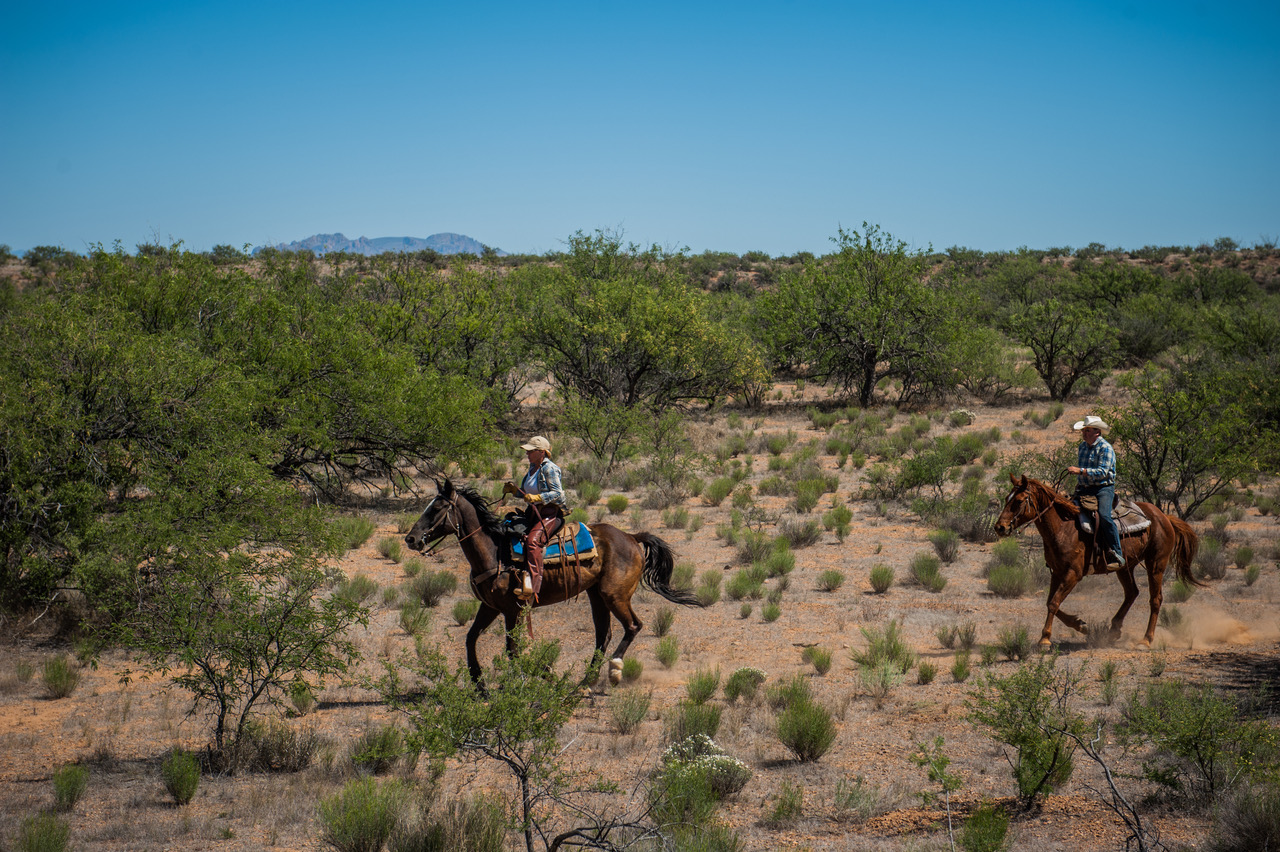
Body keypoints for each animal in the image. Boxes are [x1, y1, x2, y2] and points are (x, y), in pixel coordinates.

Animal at [401, 478, 706, 685]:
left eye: (437, 508)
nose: (411, 539)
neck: (493, 551)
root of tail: (631, 536)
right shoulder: (490, 607)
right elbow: (470, 638)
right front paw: (479, 685)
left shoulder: (513, 610)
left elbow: (512, 650)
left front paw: (545, 673)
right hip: (596, 595)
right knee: (603, 634)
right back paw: (586, 682)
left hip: (613, 594)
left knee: (632, 626)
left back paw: (614, 671)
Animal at [988, 473, 1198, 647]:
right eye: (1006, 499)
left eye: (1019, 501)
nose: (1000, 527)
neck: (1063, 528)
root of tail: (1164, 517)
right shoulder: (1057, 572)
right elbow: (1050, 602)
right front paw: (1081, 625)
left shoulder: (1073, 574)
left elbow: (1054, 603)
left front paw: (1045, 639)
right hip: (1125, 567)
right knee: (1132, 593)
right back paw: (1114, 630)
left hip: (1156, 564)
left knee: (1155, 599)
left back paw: (1146, 640)